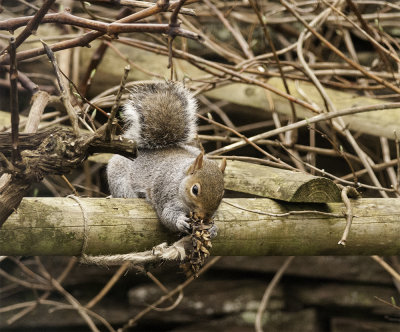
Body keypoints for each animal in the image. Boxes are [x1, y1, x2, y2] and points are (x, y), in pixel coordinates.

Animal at [106, 81, 225, 237]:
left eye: (222, 193)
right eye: (195, 190)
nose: (205, 217)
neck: (180, 179)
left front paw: (213, 228)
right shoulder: (165, 192)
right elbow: (166, 215)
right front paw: (180, 222)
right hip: (118, 176)